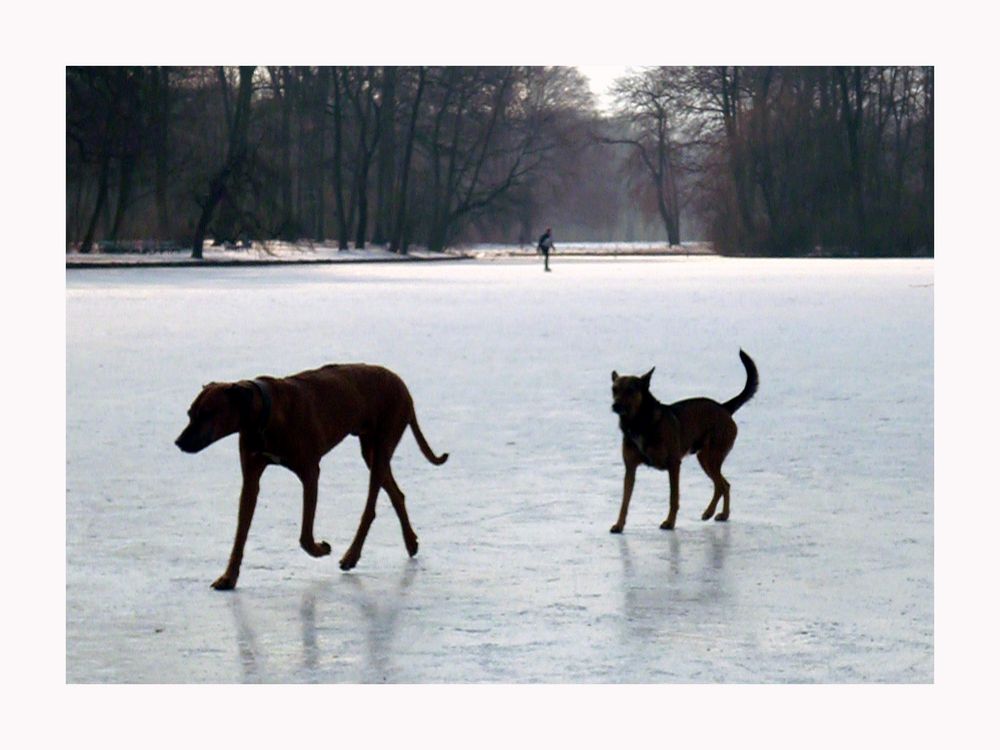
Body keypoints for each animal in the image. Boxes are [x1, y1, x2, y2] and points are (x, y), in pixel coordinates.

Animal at [176, 366, 450, 592]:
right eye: (190, 413)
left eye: (207, 414)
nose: (178, 442)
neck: (265, 414)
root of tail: (401, 383)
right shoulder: (251, 477)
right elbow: (240, 532)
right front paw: (229, 577)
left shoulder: (310, 473)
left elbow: (305, 536)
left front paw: (320, 549)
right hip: (371, 450)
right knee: (396, 493)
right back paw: (410, 542)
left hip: (383, 440)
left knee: (371, 506)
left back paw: (351, 555)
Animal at [608, 352, 756, 536]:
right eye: (614, 389)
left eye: (630, 390)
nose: (615, 405)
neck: (639, 422)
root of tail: (724, 408)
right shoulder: (630, 468)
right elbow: (625, 501)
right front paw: (619, 524)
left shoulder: (673, 464)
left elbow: (674, 497)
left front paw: (670, 522)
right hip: (705, 458)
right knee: (723, 485)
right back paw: (717, 513)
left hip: (711, 456)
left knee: (722, 485)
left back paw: (716, 513)